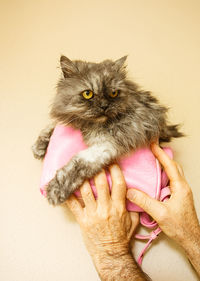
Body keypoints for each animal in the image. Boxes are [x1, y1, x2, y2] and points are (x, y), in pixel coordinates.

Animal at [32, 55, 184, 203]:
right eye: (88, 94)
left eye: (114, 93)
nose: (104, 106)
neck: (87, 124)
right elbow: (52, 125)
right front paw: (39, 146)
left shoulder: (106, 145)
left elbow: (77, 164)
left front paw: (55, 190)